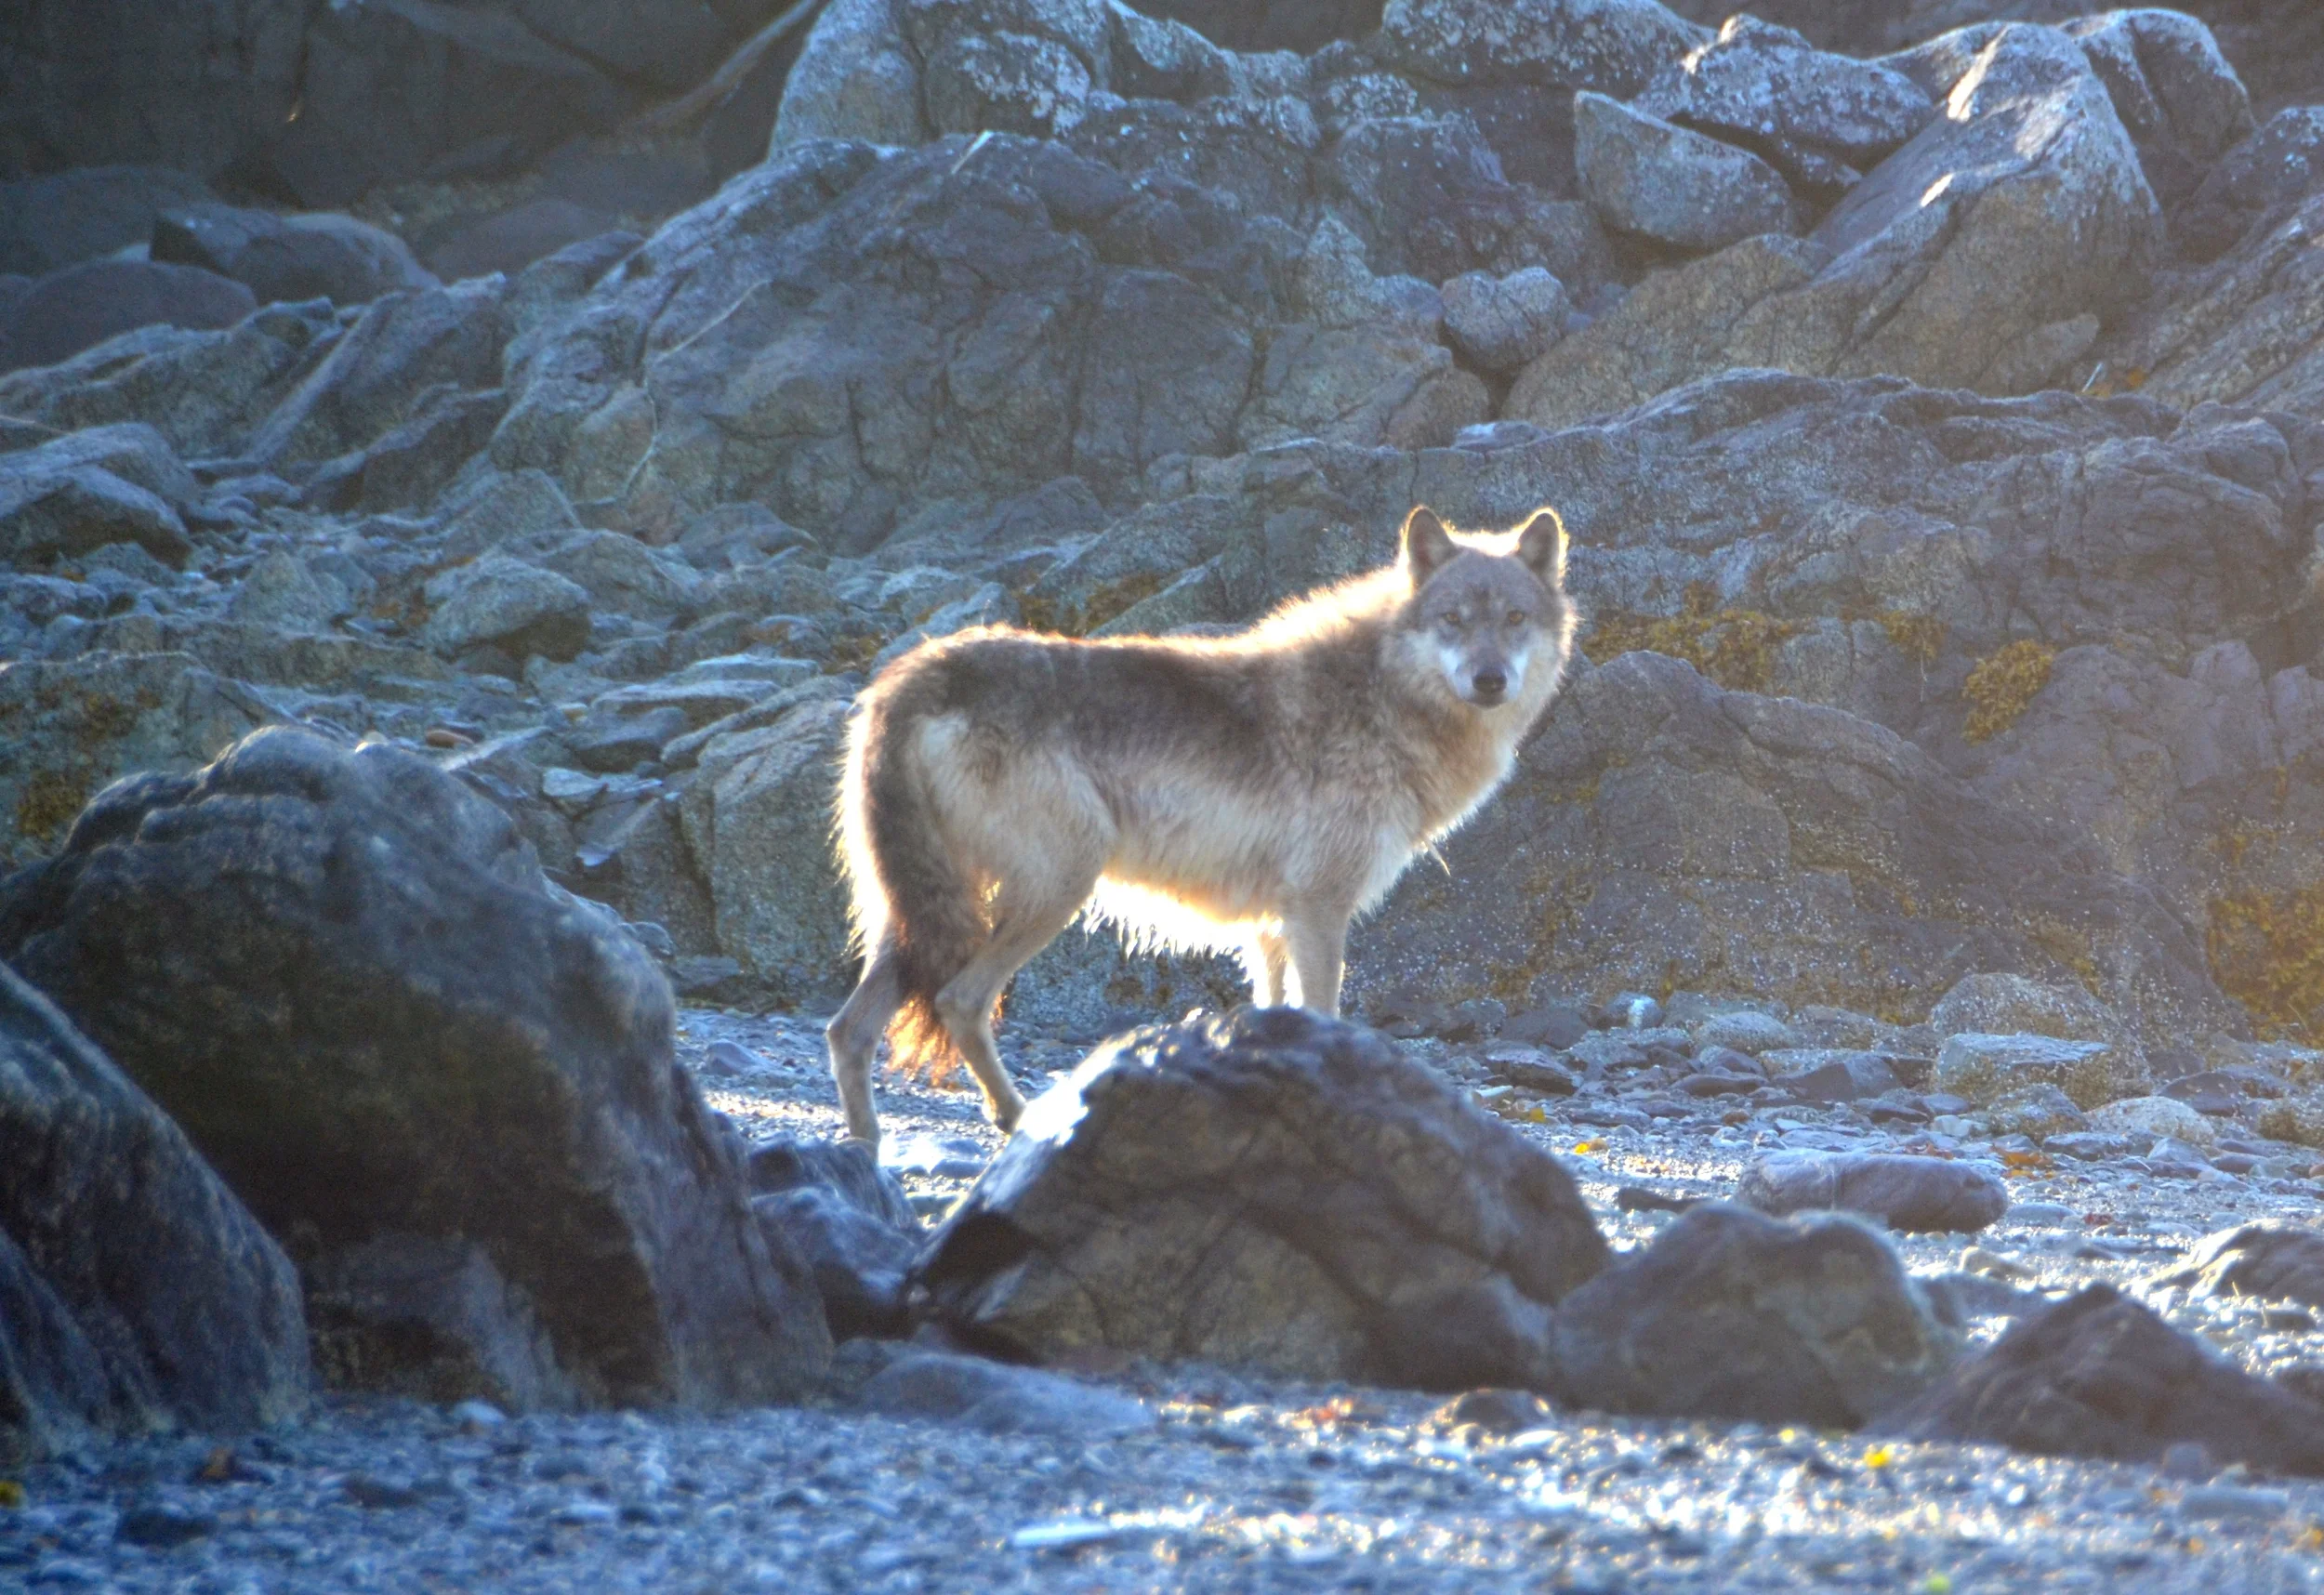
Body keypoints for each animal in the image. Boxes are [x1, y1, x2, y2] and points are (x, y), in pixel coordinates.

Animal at [824, 504, 1578, 1145]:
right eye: (1453, 619)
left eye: (1515, 618)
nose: (1489, 680)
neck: (1382, 700)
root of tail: (912, 674)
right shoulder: (1318, 908)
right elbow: (1325, 1015)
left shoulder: (1271, 925)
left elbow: (1275, 1016)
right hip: (1054, 890)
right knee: (957, 1000)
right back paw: (1015, 1116)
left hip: (919, 916)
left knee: (846, 1028)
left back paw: (866, 1146)